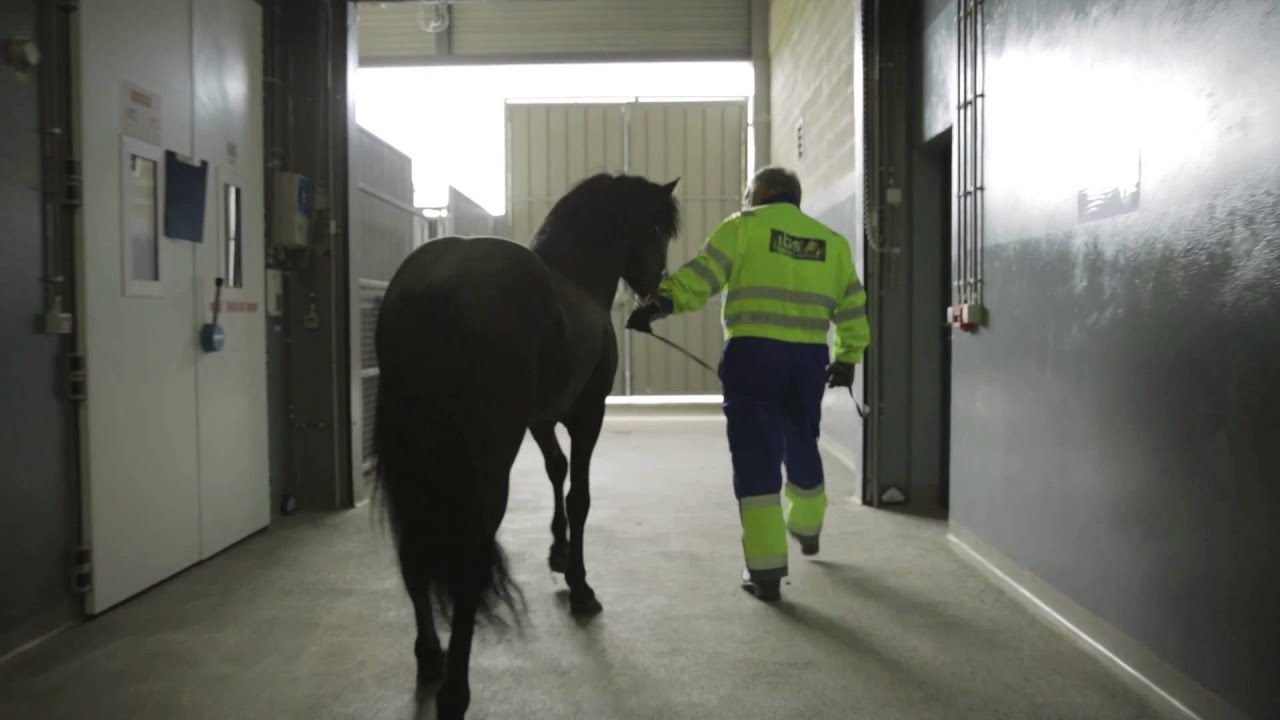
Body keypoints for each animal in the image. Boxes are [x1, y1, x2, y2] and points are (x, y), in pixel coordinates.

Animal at [373, 172, 680, 719]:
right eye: (658, 228)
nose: (655, 294)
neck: (575, 278)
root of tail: (431, 287)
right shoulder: (587, 416)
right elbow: (579, 495)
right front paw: (580, 586)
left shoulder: (541, 419)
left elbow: (556, 469)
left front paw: (558, 552)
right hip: (487, 466)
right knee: (469, 562)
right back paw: (455, 691)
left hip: (418, 464)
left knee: (414, 553)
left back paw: (430, 656)